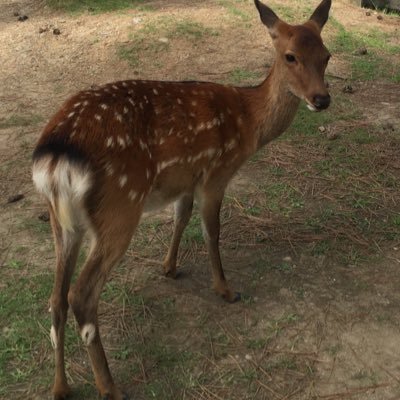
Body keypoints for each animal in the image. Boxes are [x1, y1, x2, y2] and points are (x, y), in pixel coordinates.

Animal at [32, 0, 332, 400]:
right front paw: (226, 289)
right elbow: (212, 230)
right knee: (81, 294)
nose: (322, 99)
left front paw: (169, 267)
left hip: (62, 222)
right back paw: (110, 387)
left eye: (327, 56)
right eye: (290, 56)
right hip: (119, 208)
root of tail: (54, 158)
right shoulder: (218, 171)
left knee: (55, 298)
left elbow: (181, 218)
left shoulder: (187, 179)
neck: (249, 122)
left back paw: (60, 386)